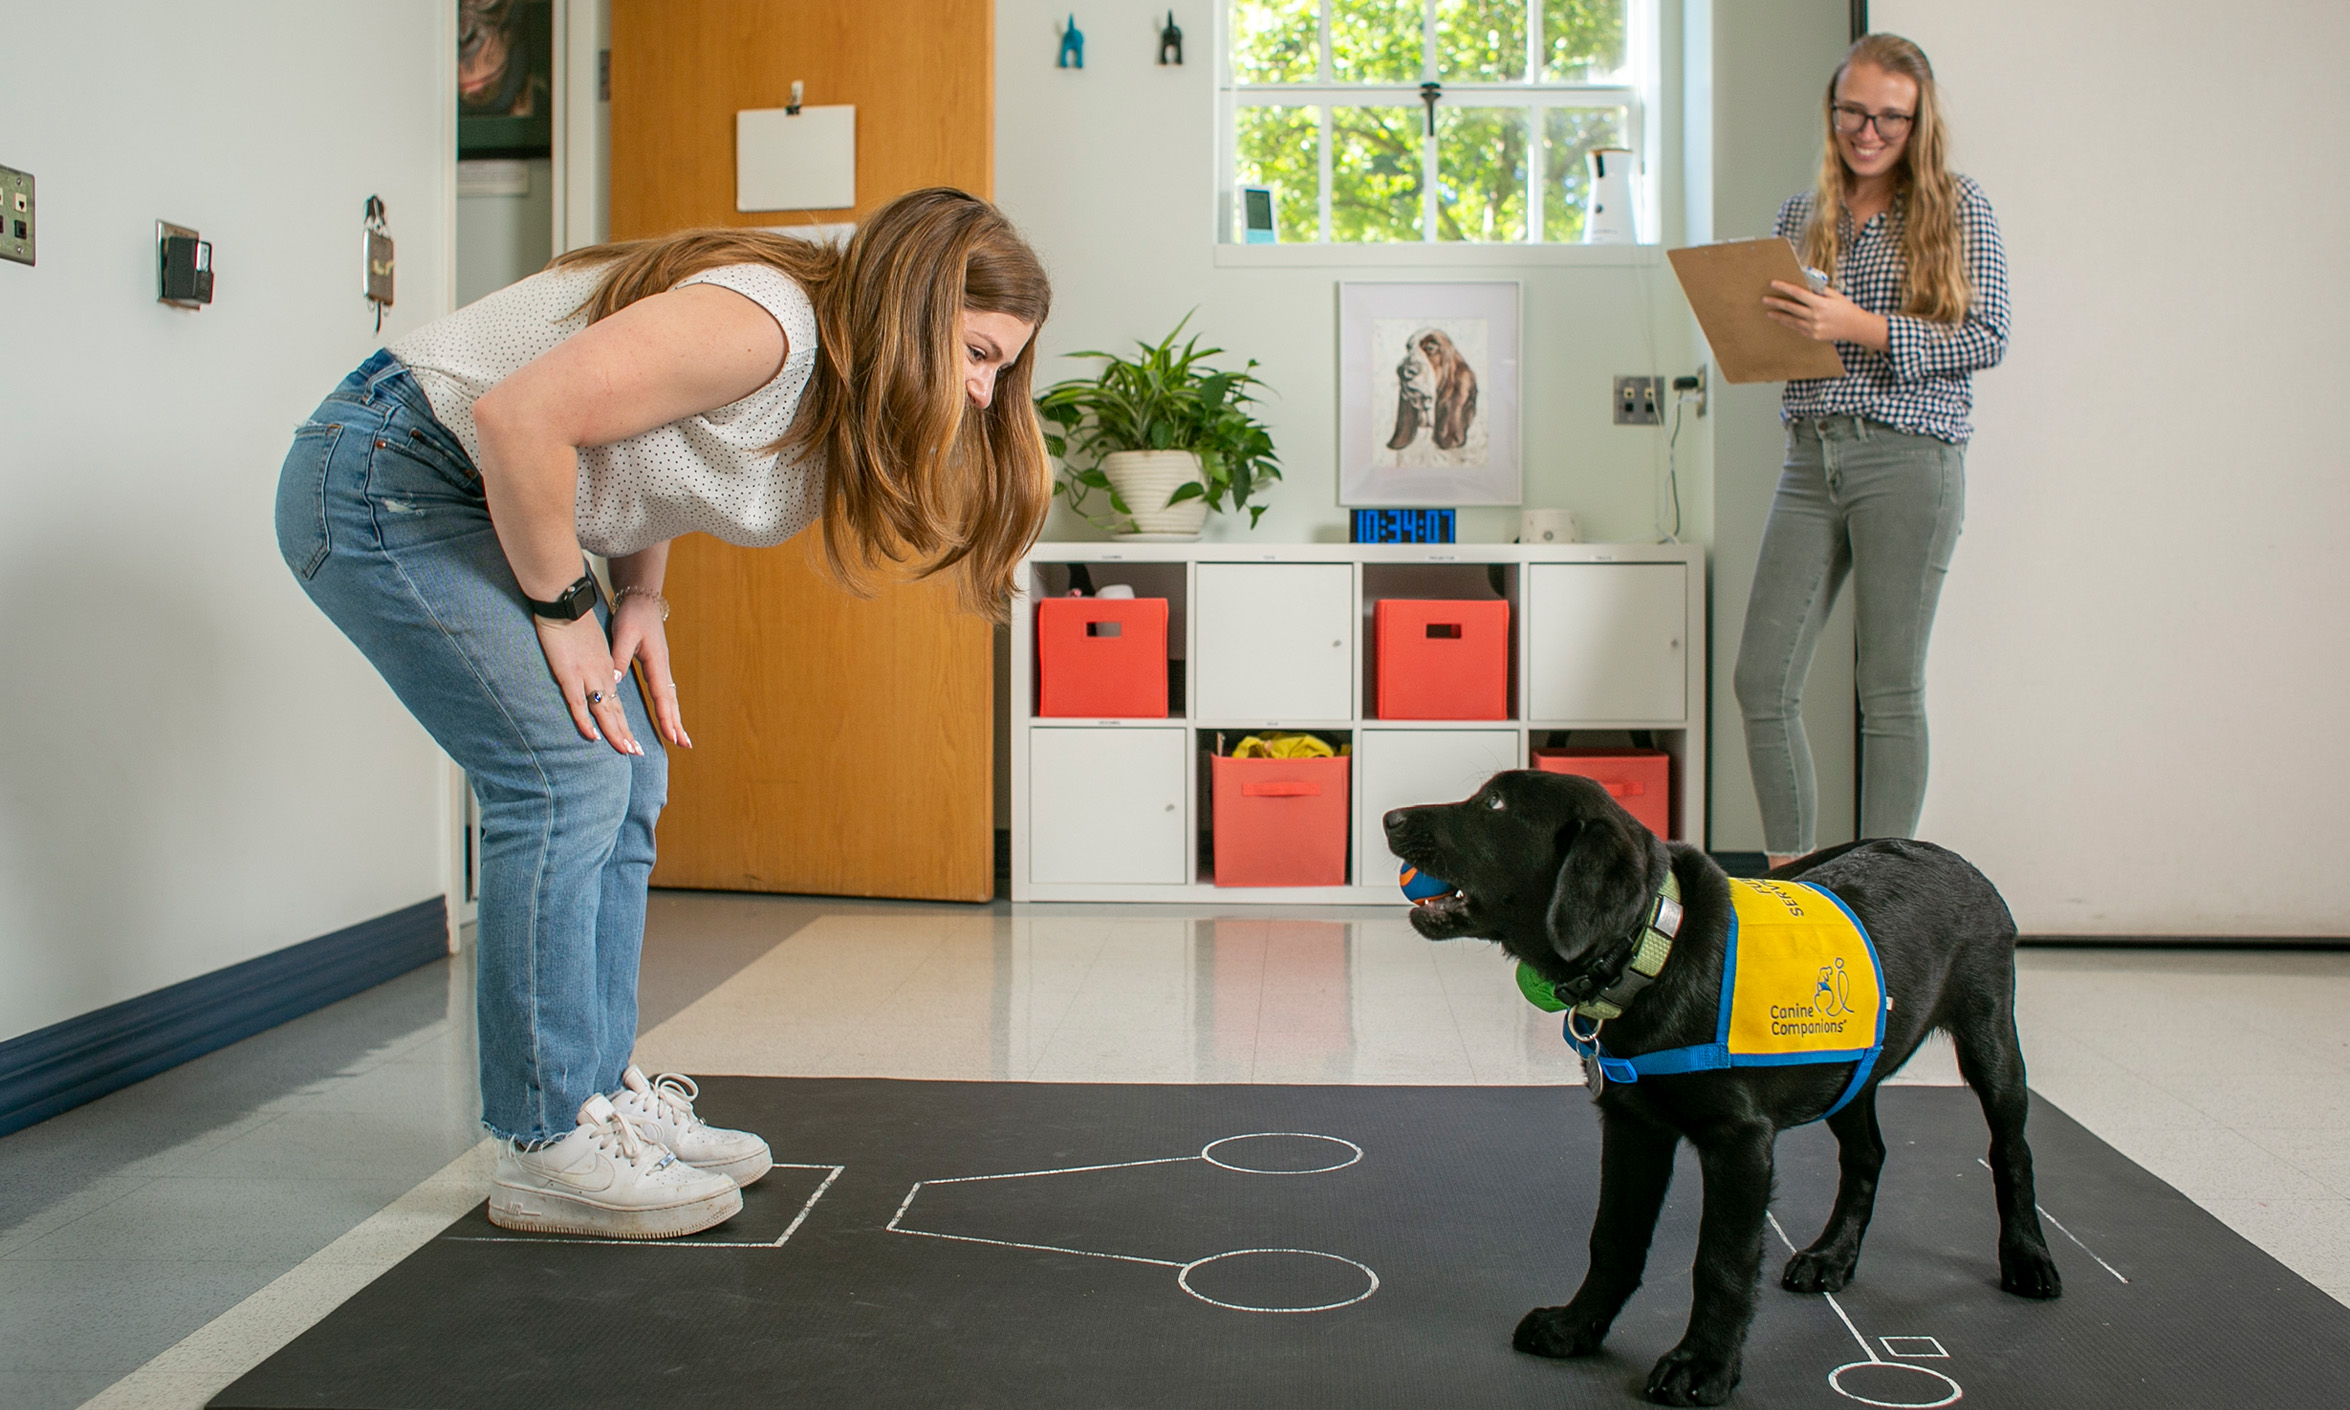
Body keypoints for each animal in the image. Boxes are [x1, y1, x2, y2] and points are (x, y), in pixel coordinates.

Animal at [1381, 775, 2068, 1400]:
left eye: (1495, 804)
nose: (1389, 816)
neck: (1654, 949)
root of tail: (1955, 858)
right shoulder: (1632, 1126)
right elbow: (1614, 1237)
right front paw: (1577, 1328)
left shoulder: (1739, 1143)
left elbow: (1721, 1262)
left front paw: (1703, 1366)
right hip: (1851, 1065)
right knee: (1867, 1154)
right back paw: (1831, 1257)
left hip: (1989, 1037)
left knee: (2012, 1150)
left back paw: (2027, 1258)